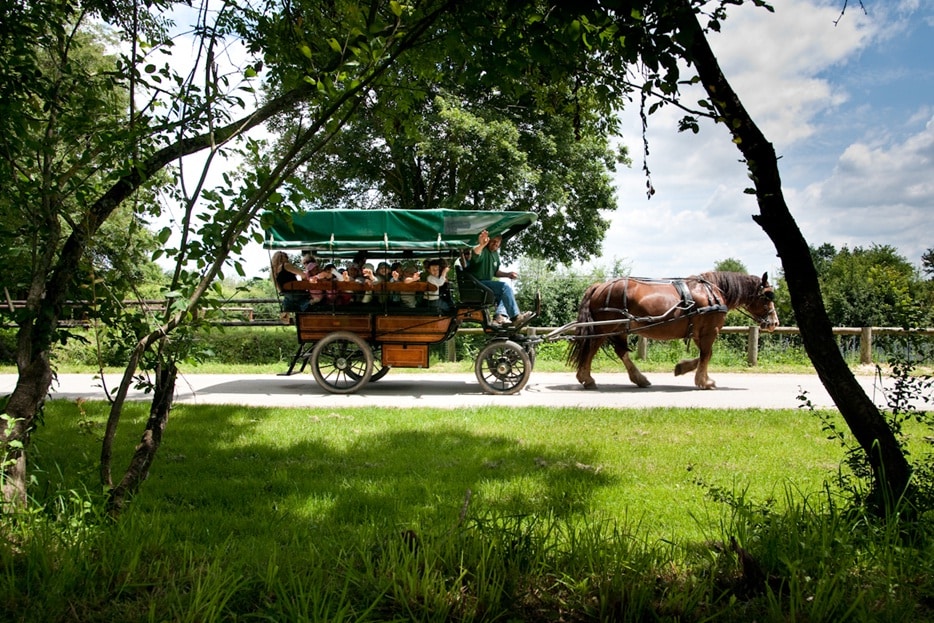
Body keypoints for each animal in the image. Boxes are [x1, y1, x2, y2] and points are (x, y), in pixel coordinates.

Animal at [572, 272, 784, 390]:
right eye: (767, 296)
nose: (774, 322)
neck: (713, 294)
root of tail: (600, 286)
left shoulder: (699, 333)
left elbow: (704, 355)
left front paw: (682, 368)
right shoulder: (710, 331)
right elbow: (707, 355)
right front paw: (704, 381)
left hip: (621, 327)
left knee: (621, 351)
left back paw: (639, 379)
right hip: (605, 327)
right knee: (591, 349)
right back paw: (587, 378)